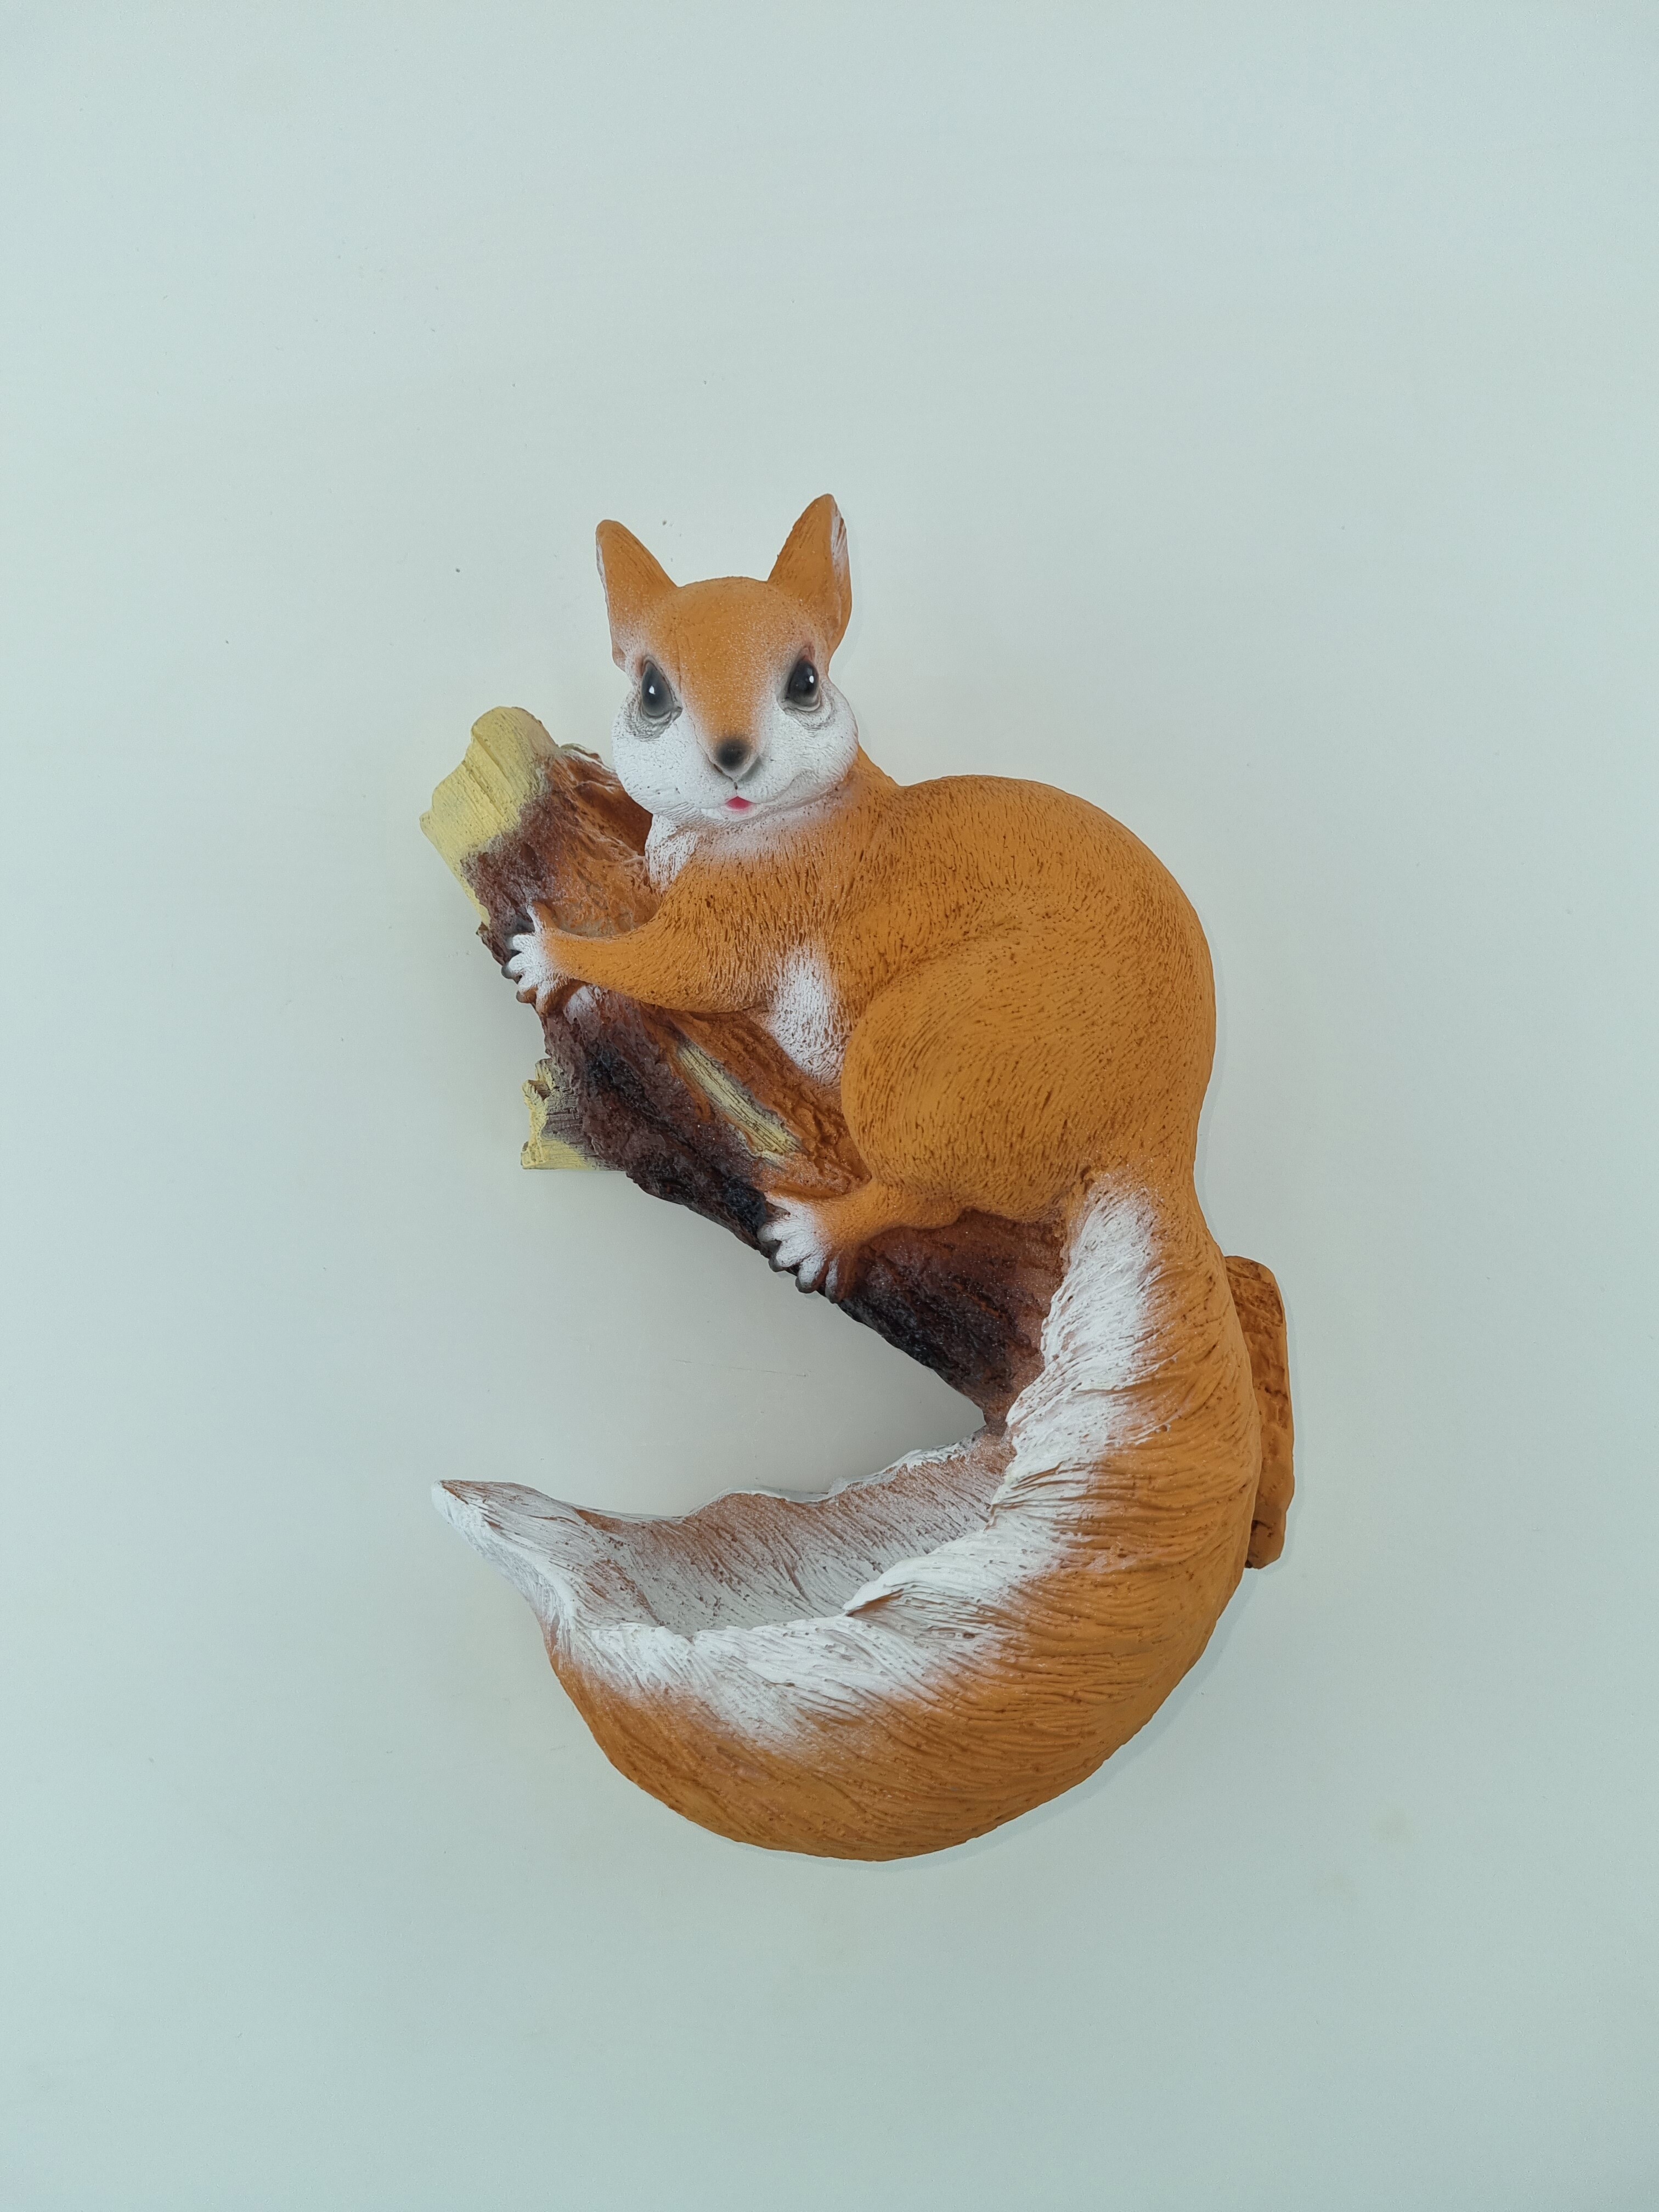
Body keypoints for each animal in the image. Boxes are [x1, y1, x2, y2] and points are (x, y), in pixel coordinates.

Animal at [505, 495, 1216, 1301]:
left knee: (925, 1199)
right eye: (651, 691)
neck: (738, 829)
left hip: (917, 1052)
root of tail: (1167, 1126)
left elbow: (661, 967)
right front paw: (593, 777)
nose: (732, 756)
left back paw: (818, 1232)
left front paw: (549, 954)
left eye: (805, 682)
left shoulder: (736, 925)